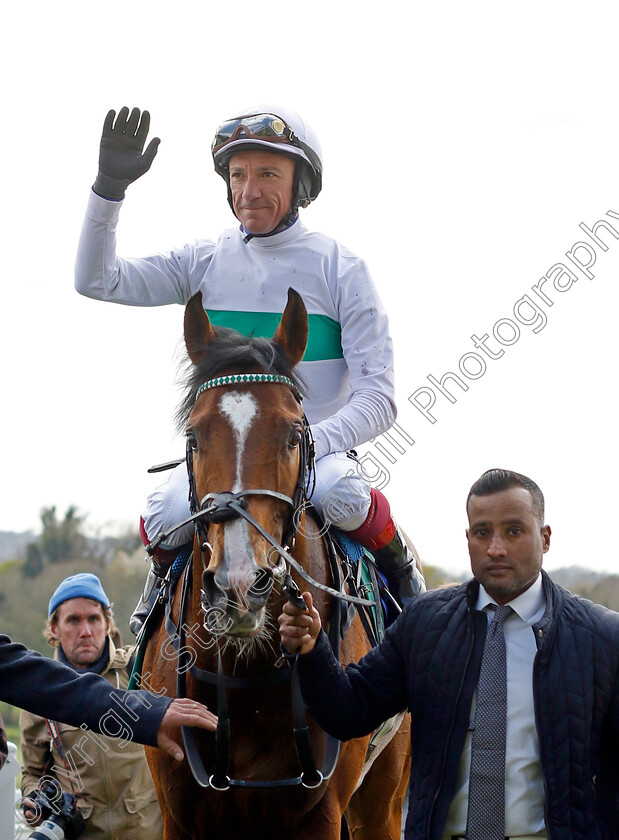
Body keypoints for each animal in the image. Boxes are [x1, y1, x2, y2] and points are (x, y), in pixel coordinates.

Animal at [143, 286, 414, 836]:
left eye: (293, 434)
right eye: (194, 436)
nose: (239, 585)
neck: (247, 679)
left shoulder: (321, 814)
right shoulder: (178, 814)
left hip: (383, 798)